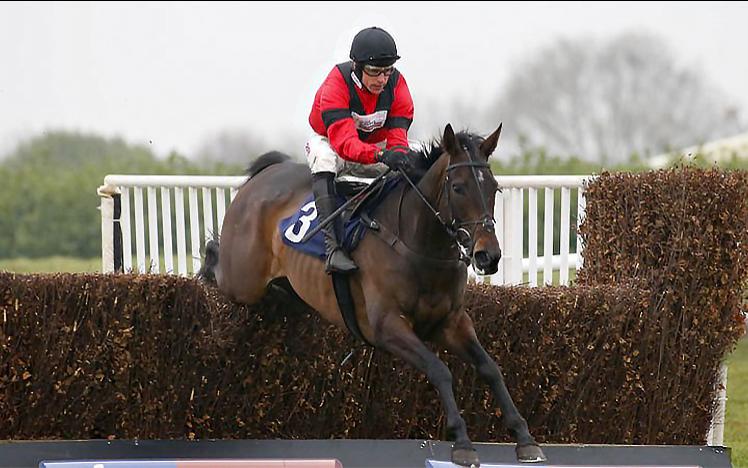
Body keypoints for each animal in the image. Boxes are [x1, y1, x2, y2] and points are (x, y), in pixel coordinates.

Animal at [199, 123, 548, 464]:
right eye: (458, 187)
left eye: (495, 188)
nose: (488, 256)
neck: (418, 244)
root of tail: (266, 173)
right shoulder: (387, 326)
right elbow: (440, 370)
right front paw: (462, 441)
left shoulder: (451, 322)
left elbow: (491, 368)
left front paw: (525, 438)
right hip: (242, 279)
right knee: (217, 260)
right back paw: (207, 269)